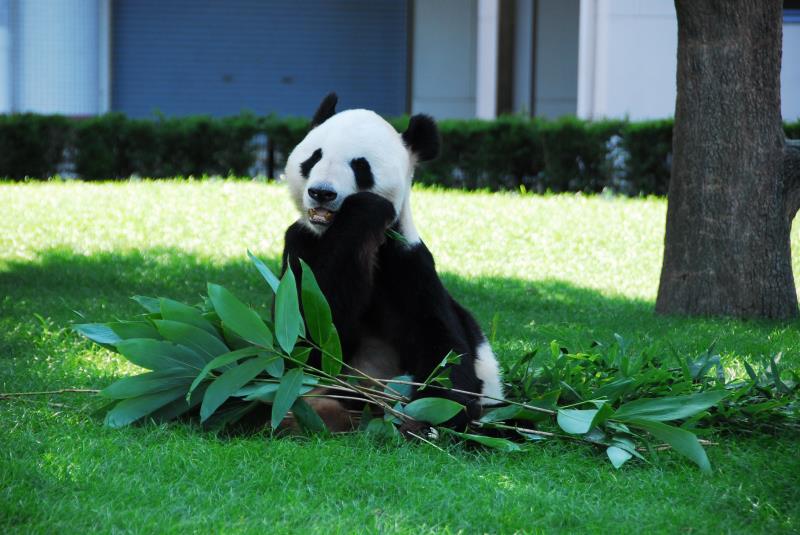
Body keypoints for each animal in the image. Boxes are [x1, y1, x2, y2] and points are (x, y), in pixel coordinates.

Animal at [282, 92, 504, 434]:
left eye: (360, 166)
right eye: (314, 158)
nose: (322, 192)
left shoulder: (408, 264)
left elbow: (443, 346)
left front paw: (440, 413)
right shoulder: (300, 247)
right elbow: (307, 336)